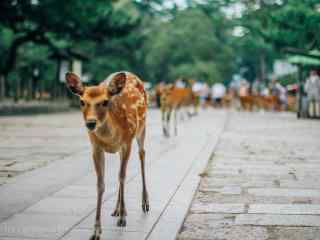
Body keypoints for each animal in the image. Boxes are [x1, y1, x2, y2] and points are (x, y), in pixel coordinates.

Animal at [66, 71, 150, 240]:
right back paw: (117, 209)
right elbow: (100, 184)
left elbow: (122, 176)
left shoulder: (127, 142)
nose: (91, 123)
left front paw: (123, 219)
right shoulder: (96, 147)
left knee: (142, 154)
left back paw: (144, 203)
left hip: (142, 128)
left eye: (105, 102)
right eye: (82, 101)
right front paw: (96, 231)